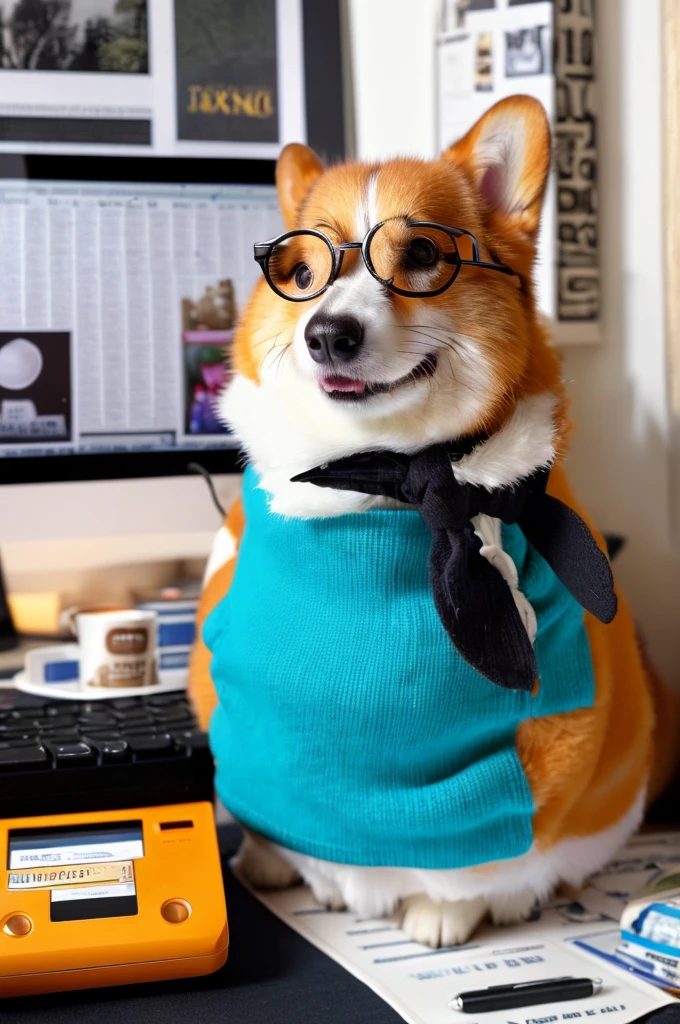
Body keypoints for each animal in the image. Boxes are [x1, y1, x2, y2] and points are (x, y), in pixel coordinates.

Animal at [188, 97, 675, 950]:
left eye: (419, 254)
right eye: (300, 276)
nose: (327, 334)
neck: (382, 475)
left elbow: (474, 851)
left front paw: (444, 910)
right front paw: (272, 855)